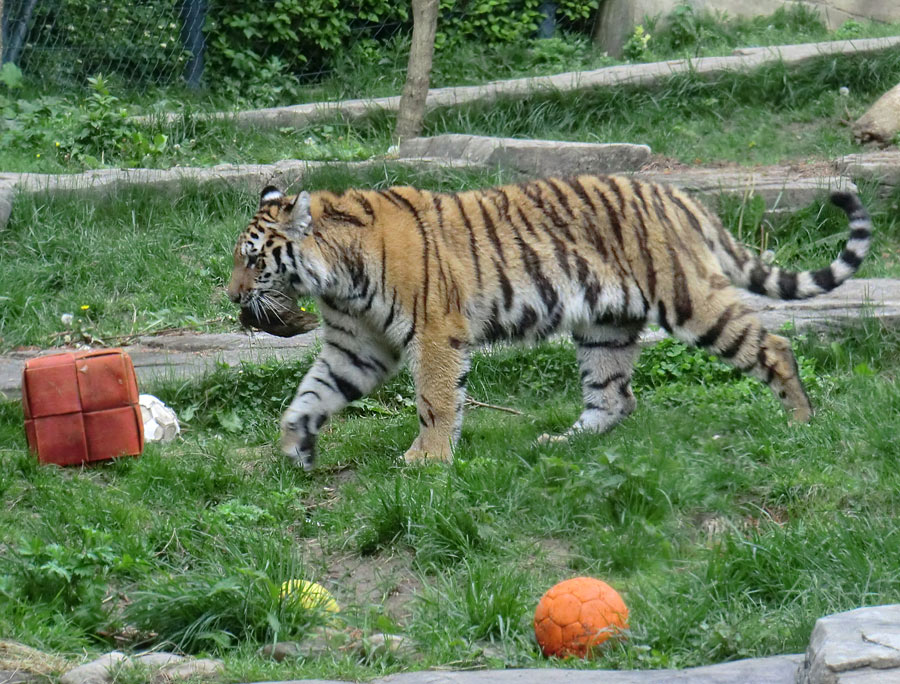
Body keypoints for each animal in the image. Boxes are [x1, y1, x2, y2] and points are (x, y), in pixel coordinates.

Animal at [225, 175, 872, 470]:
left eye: (254, 261)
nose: (230, 294)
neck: (336, 278)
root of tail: (681, 196)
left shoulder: (433, 333)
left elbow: (434, 400)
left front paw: (426, 460)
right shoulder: (355, 346)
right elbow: (310, 394)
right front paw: (295, 445)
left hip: (691, 301)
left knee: (774, 346)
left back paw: (800, 422)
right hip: (605, 324)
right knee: (614, 397)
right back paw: (561, 442)